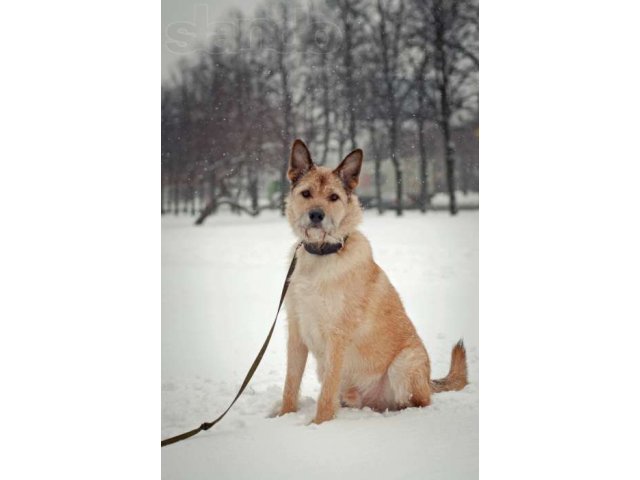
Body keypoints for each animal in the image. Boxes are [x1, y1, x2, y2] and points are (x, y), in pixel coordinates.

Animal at [278, 139, 468, 424]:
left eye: (333, 197)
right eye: (306, 193)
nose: (316, 216)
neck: (322, 254)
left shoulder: (337, 336)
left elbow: (326, 393)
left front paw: (319, 424)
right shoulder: (296, 330)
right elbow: (290, 383)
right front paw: (283, 416)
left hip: (405, 363)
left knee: (419, 402)